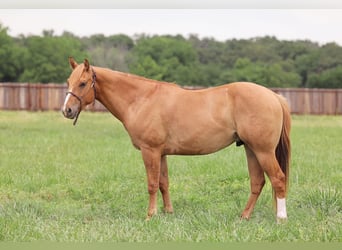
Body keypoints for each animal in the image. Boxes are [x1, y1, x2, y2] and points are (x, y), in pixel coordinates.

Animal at [62, 57, 292, 223]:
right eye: (69, 82)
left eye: (83, 83)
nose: (67, 110)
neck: (142, 99)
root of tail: (274, 96)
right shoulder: (161, 153)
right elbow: (164, 183)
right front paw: (168, 212)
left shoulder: (150, 151)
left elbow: (152, 184)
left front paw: (150, 215)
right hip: (251, 149)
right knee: (258, 182)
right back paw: (244, 217)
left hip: (263, 151)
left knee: (278, 179)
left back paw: (281, 218)